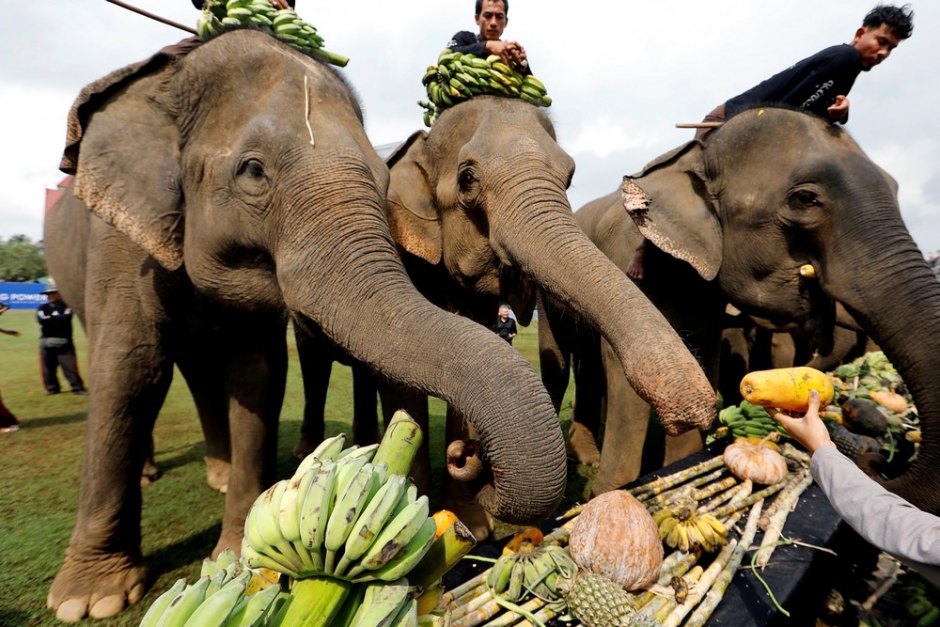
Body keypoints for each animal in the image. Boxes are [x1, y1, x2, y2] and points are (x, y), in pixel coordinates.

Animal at [42, 30, 572, 624]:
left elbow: (258, 374)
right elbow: (129, 369)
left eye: (381, 178)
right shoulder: (121, 238)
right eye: (252, 170)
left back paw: (234, 471)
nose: (469, 457)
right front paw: (90, 600)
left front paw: (235, 558)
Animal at [540, 104, 940, 506]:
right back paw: (585, 457)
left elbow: (705, 356)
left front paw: (680, 462)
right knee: (566, 359)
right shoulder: (630, 266)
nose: (877, 460)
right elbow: (630, 375)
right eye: (805, 199)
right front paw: (608, 495)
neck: (696, 156)